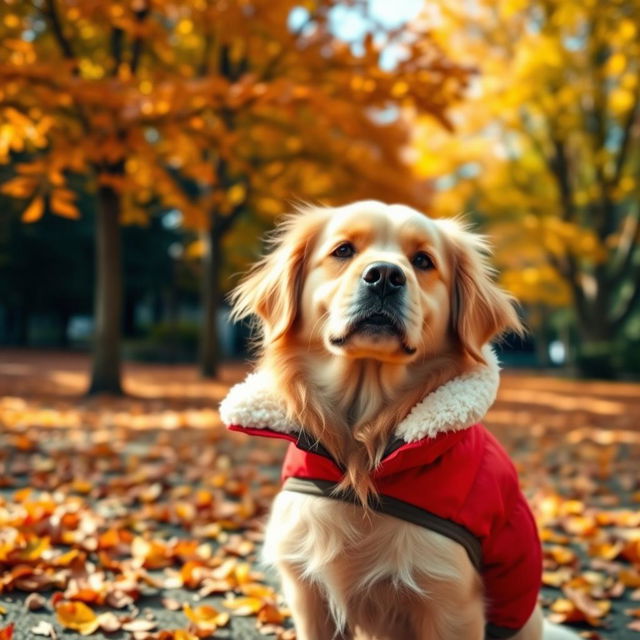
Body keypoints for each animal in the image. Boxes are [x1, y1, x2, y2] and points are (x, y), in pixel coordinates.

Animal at [220, 201, 580, 640]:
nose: (385, 276)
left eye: (423, 261)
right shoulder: (309, 596)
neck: (362, 455)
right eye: (343, 250)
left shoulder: (450, 603)